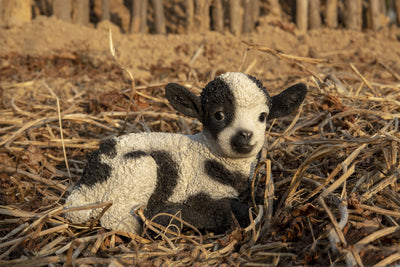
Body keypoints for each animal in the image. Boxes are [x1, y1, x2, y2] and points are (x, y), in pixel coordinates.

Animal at [64, 71, 306, 234]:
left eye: (263, 116)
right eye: (218, 115)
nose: (244, 136)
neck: (210, 155)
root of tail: (86, 181)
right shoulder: (200, 193)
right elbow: (234, 211)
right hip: (138, 168)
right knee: (114, 216)